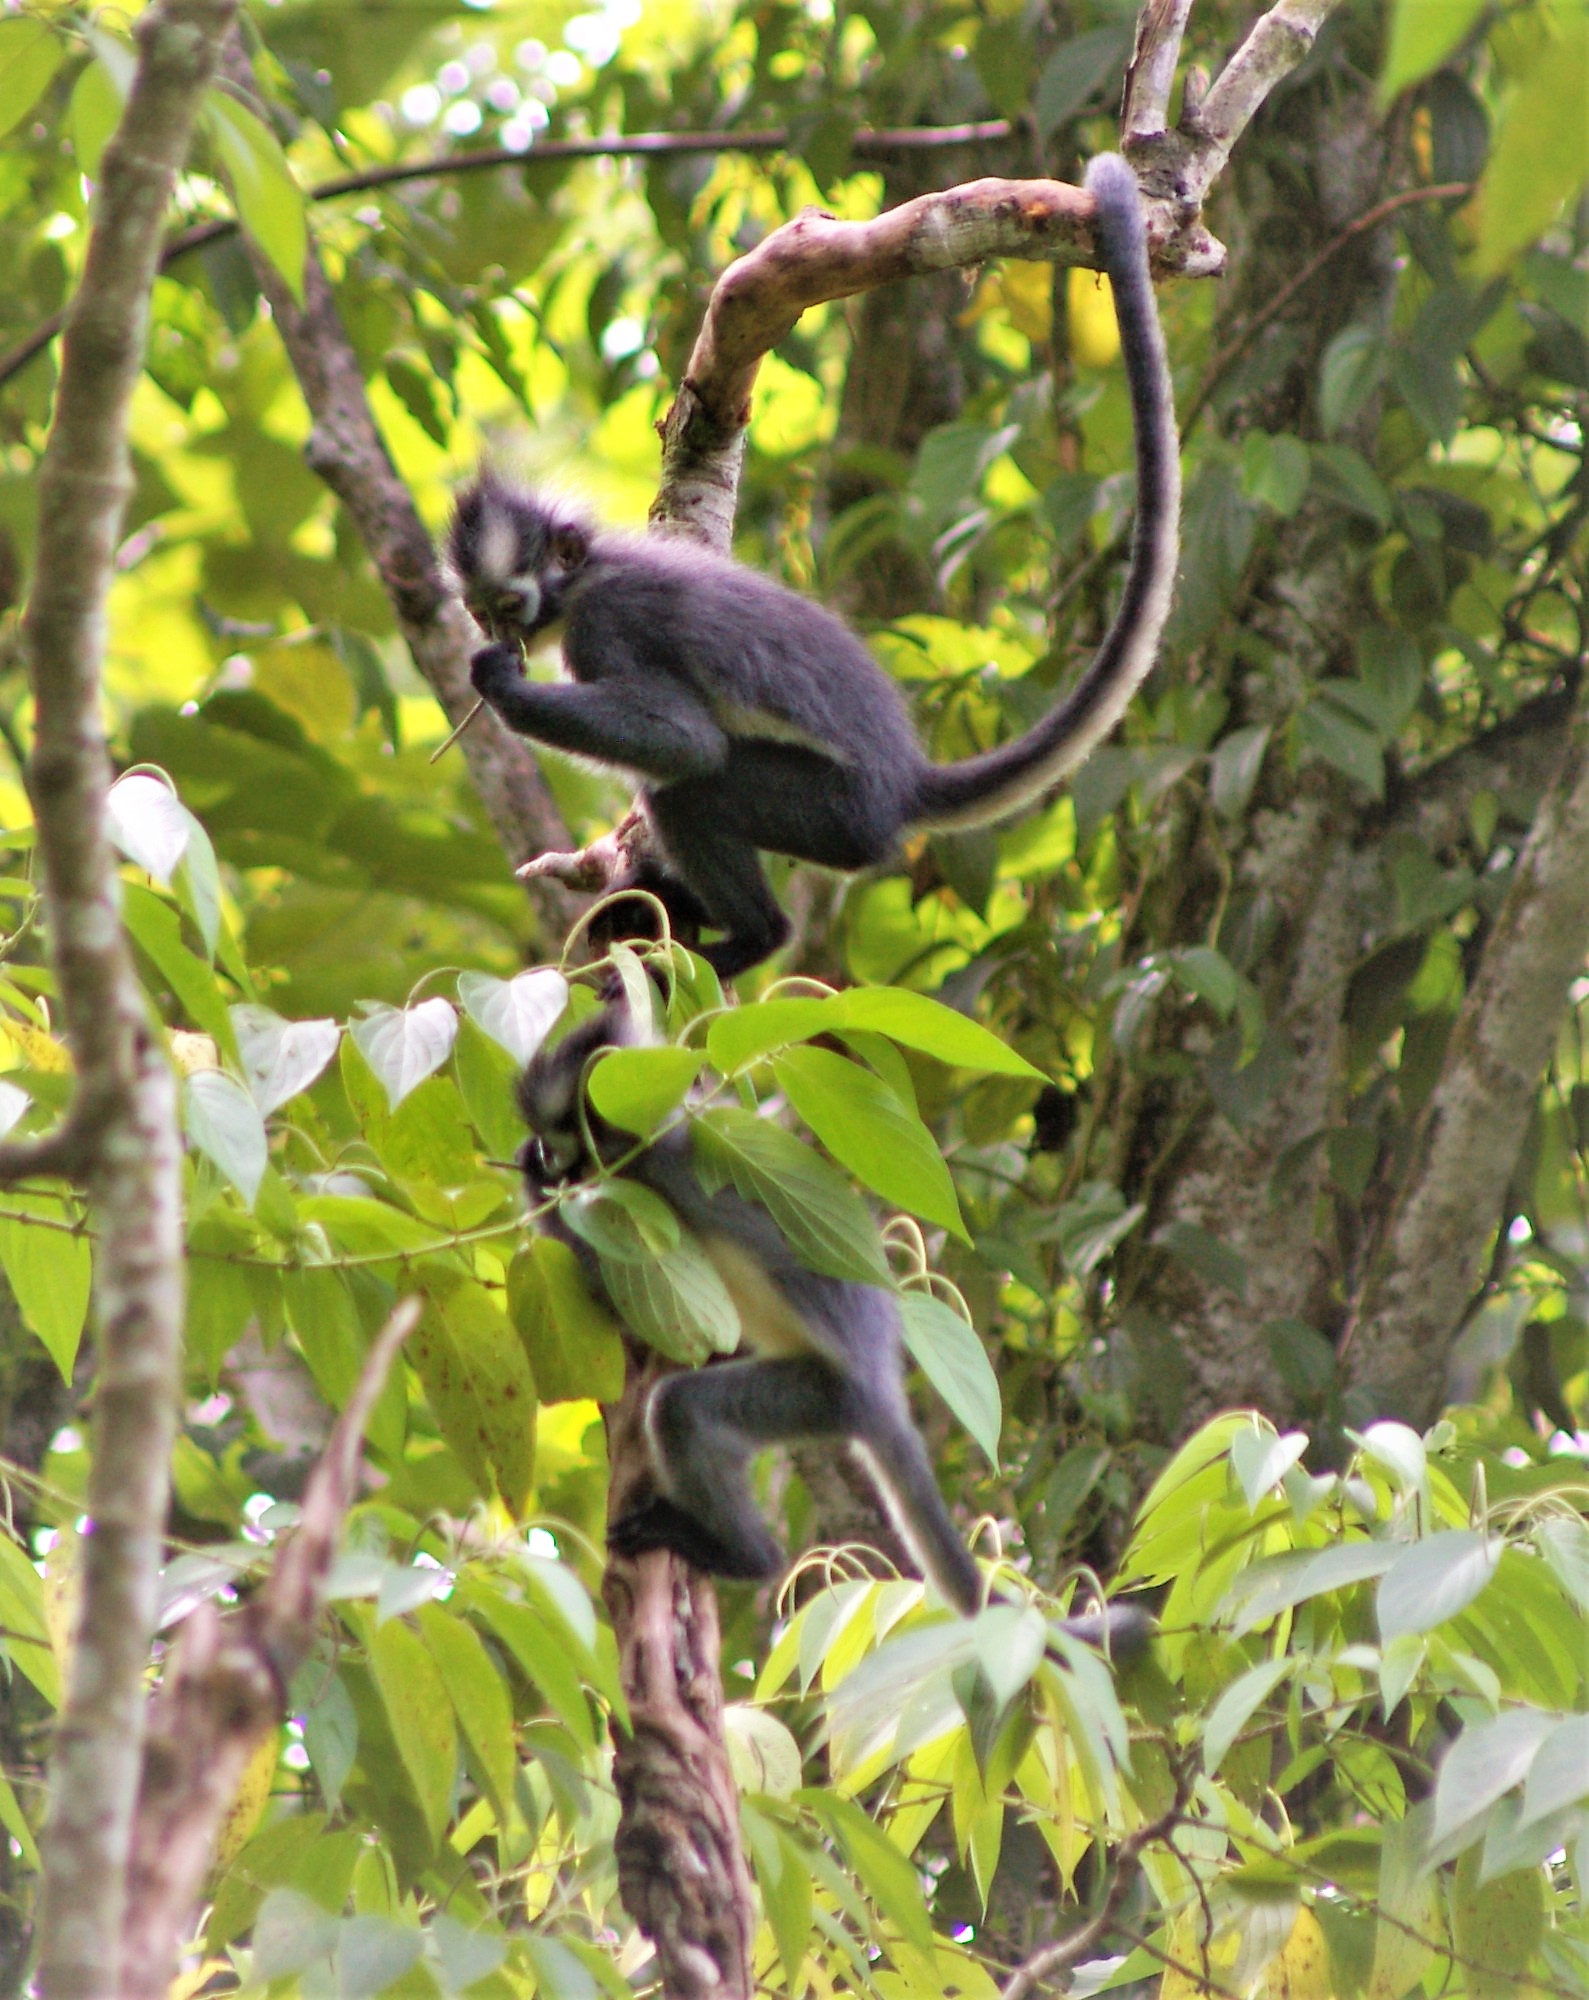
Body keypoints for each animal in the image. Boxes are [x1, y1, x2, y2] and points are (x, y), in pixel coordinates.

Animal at [448, 152, 1179, 979]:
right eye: (481, 610)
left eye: (510, 608)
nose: (499, 637)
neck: (589, 574)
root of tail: (902, 782)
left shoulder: (607, 624)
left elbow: (686, 743)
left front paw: (501, 687)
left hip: (832, 814)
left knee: (695, 787)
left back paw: (755, 936)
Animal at [516, 994, 1152, 1661]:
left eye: (561, 1133)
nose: (546, 1155)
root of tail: (883, 1389)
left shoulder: (652, 1173)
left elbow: (621, 1288)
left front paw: (536, 1187)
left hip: (823, 1395)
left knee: (680, 1409)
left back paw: (746, 1555)